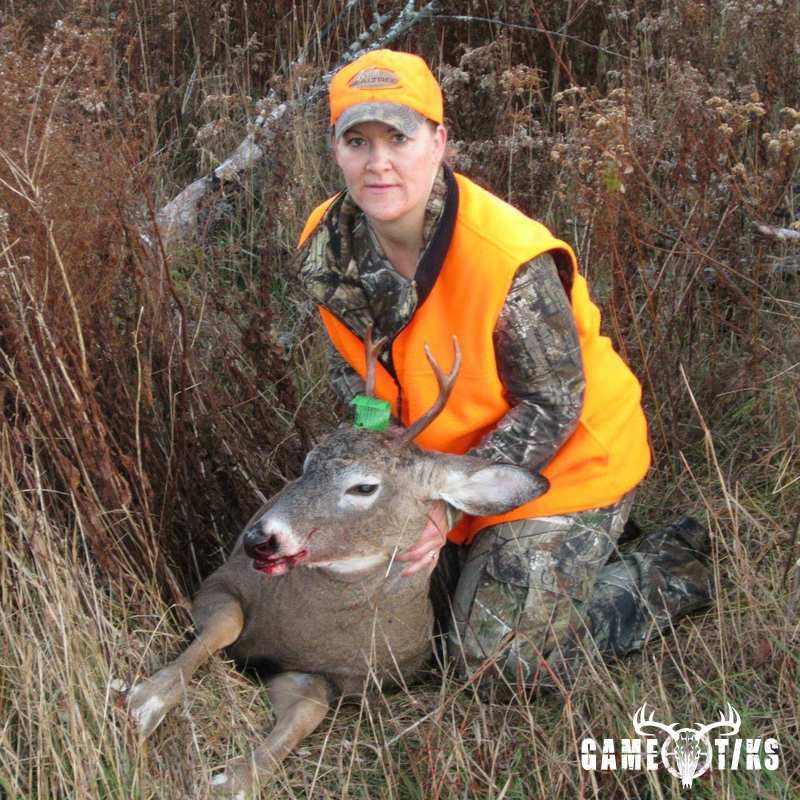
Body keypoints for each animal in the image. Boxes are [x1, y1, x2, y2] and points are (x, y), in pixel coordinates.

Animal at [126, 329, 546, 798]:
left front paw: (234, 780)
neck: (308, 629)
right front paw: (144, 701)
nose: (258, 538)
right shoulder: (223, 579)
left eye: (364, 487)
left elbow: (310, 710)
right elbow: (226, 625)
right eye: (308, 463)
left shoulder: (329, 678)